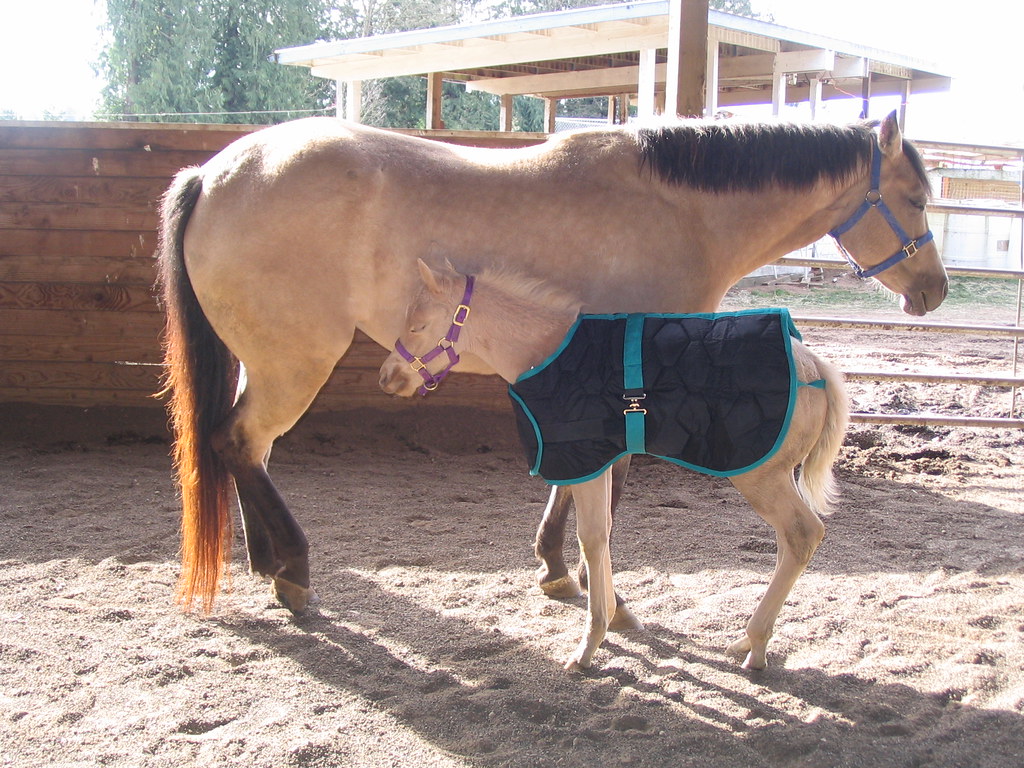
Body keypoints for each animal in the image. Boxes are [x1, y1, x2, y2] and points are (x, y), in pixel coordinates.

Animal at [157, 111, 946, 614]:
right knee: (241, 442)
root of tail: (212, 174)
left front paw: (555, 566)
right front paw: (585, 580)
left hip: (263, 361)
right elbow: (610, 481)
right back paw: (293, 570)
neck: (679, 211)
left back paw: (269, 563)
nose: (934, 291)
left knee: (242, 447)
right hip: (295, 361)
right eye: (913, 197)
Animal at [378, 259, 849, 670]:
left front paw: (590, 644)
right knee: (793, 539)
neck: (549, 353)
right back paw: (747, 643)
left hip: (761, 475)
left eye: (418, 325)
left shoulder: (586, 461)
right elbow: (602, 533)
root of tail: (815, 365)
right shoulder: (599, 462)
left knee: (802, 534)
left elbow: (590, 537)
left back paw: (755, 645)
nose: (387, 377)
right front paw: (608, 616)